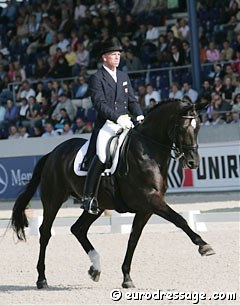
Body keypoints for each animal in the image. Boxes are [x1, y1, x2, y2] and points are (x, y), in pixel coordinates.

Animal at [11, 98, 215, 290]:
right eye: (182, 127)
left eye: (198, 127)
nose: (193, 163)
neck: (148, 151)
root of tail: (53, 153)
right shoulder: (151, 199)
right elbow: (179, 219)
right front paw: (204, 245)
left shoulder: (146, 208)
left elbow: (133, 239)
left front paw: (126, 278)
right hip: (53, 200)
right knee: (45, 233)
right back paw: (42, 279)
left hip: (97, 205)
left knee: (78, 229)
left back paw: (95, 268)